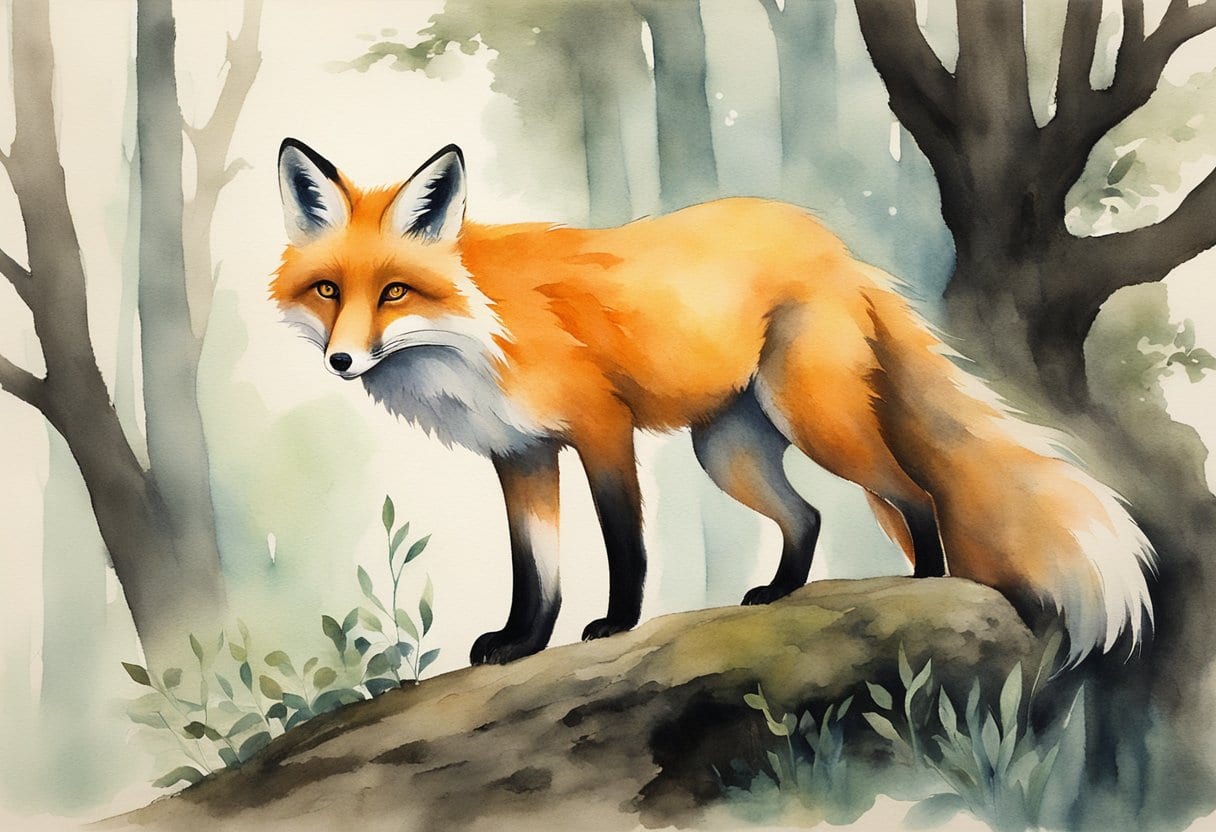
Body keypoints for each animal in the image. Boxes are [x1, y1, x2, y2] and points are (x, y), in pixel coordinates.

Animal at [272, 138, 1154, 667]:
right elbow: (537, 574)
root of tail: (837, 248)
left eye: (394, 292)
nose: (341, 359)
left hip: (817, 422)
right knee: (809, 517)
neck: (480, 331)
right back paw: (781, 593)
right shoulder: (521, 455)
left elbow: (623, 546)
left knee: (915, 493)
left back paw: (924, 585)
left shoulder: (600, 429)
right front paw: (522, 644)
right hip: (728, 452)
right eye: (328, 291)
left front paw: (616, 626)